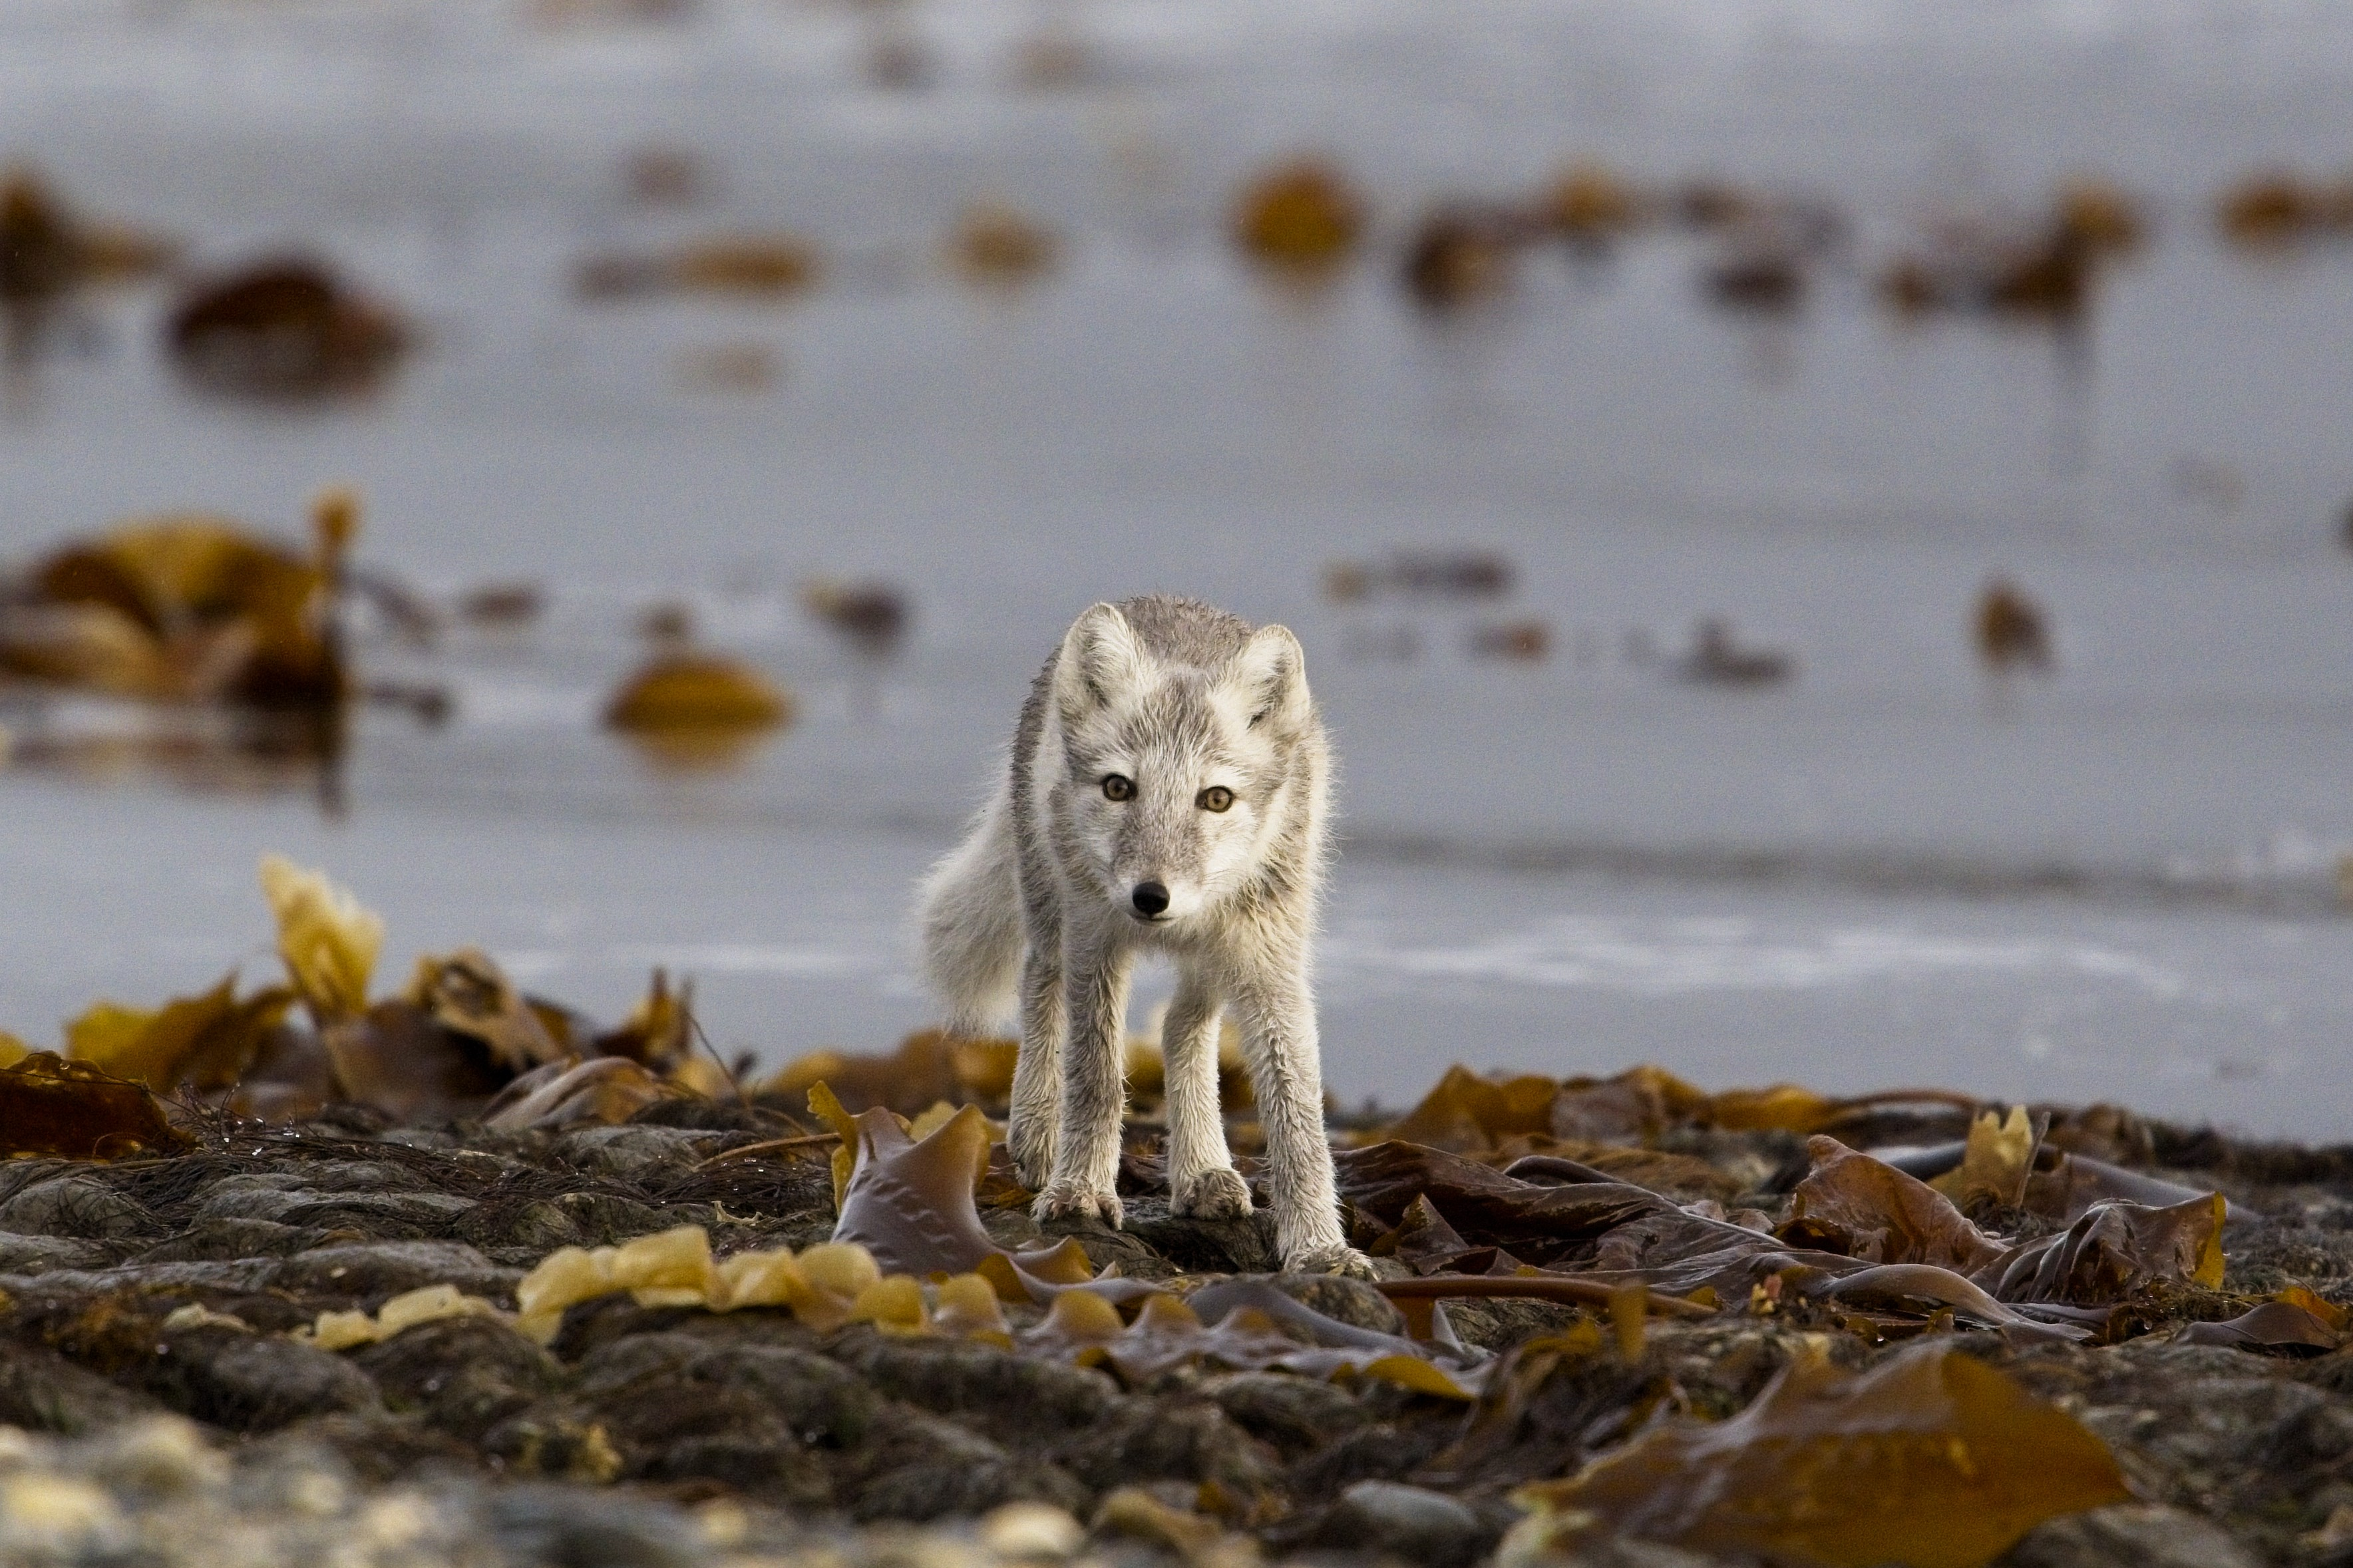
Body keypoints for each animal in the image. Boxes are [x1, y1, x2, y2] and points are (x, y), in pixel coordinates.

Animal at [918, 595, 1364, 1269]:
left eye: (1216, 798)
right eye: (1118, 787)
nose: (1151, 897)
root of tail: (1163, 598)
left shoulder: (1271, 963)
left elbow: (1298, 1117)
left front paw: (1320, 1248)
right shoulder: (1097, 943)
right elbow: (1096, 1074)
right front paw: (1080, 1191)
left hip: (1218, 958)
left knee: (1183, 1026)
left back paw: (1203, 1169)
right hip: (1054, 912)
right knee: (1041, 986)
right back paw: (1039, 1134)